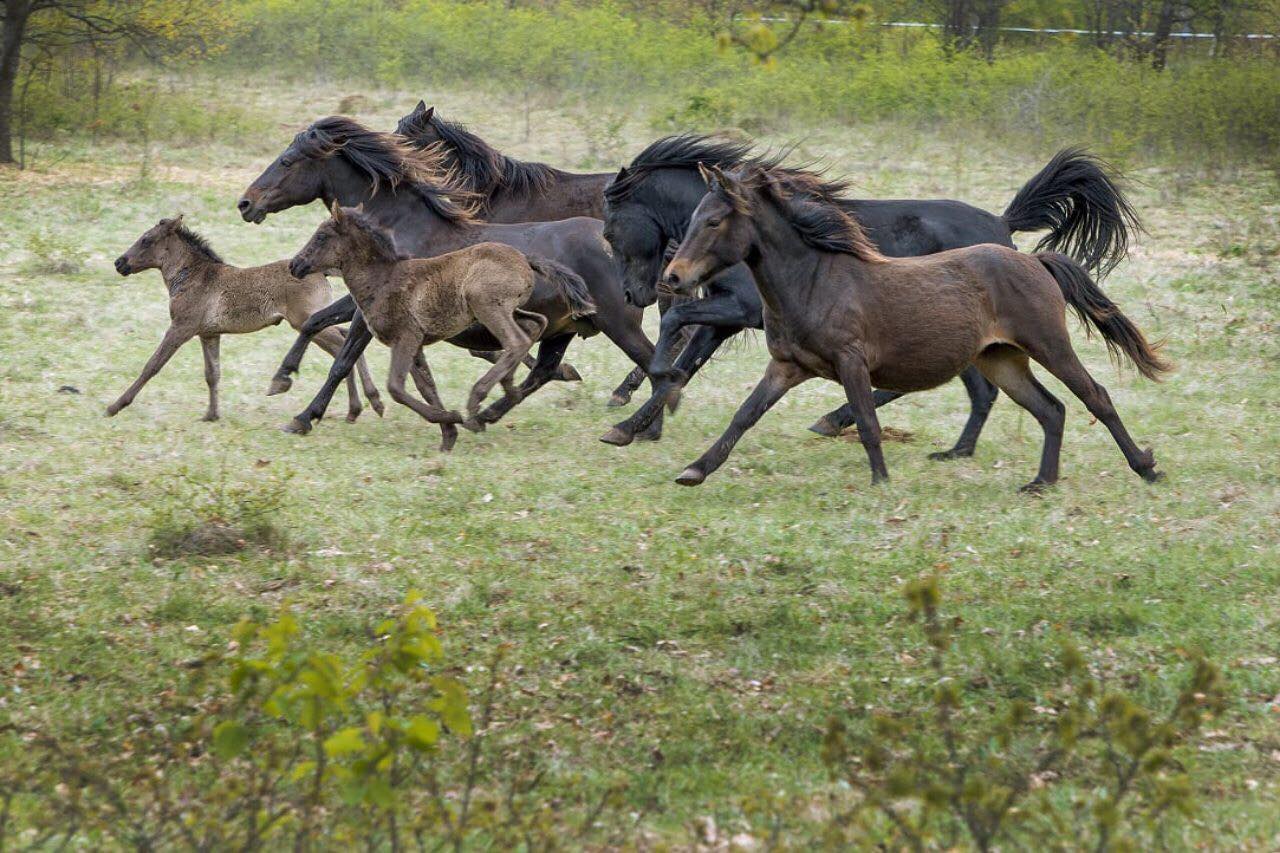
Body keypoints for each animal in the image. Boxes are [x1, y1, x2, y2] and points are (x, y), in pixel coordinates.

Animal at [290, 203, 593, 448]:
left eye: (321, 236)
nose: (295, 265)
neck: (383, 278)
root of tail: (525, 259)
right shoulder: (414, 343)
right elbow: (426, 386)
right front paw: (448, 435)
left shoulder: (407, 337)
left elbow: (396, 387)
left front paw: (452, 417)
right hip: (509, 310)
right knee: (533, 327)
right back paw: (507, 391)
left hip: (485, 304)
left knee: (515, 341)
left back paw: (477, 402)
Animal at [599, 136, 1141, 448]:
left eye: (610, 230)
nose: (634, 294)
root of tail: (1002, 226)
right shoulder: (726, 319)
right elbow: (686, 364)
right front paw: (638, 423)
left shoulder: (737, 308)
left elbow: (674, 331)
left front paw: (639, 411)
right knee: (975, 389)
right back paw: (944, 446)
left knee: (958, 387)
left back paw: (842, 421)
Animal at [660, 163, 1172, 491]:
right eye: (692, 218)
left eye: (713, 220)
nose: (674, 277)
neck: (814, 282)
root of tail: (1034, 260)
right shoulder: (786, 366)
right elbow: (744, 416)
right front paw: (695, 470)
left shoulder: (851, 361)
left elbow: (867, 421)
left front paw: (881, 482)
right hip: (1000, 359)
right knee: (1050, 410)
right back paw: (1042, 481)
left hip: (1048, 345)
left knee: (1094, 396)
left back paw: (1146, 468)